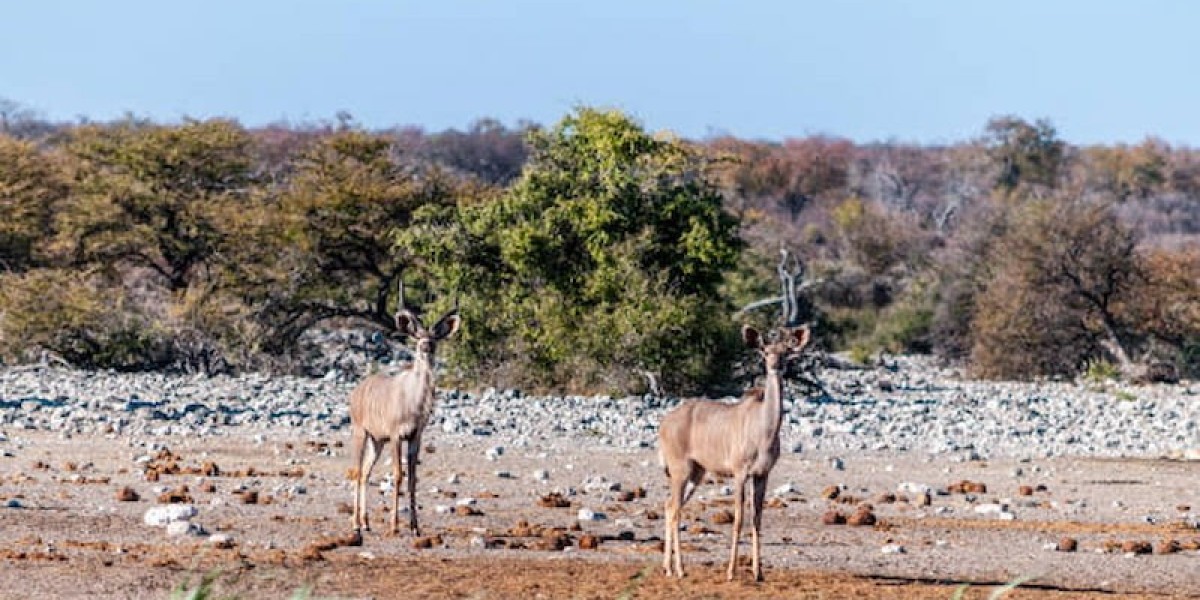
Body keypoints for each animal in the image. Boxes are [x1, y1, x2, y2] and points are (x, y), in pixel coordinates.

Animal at [350, 283, 460, 537]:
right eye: (417, 336)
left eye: (435, 337)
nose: (427, 346)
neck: (413, 402)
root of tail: (357, 391)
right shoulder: (396, 435)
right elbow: (398, 475)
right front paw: (394, 526)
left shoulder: (415, 437)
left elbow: (412, 479)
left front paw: (415, 528)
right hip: (361, 433)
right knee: (358, 471)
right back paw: (356, 524)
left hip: (377, 441)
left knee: (366, 472)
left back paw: (366, 523)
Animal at [657, 324, 816, 580]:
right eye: (765, 351)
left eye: (785, 352)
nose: (775, 365)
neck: (763, 431)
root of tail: (663, 424)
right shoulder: (740, 472)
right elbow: (739, 518)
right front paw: (731, 572)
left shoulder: (762, 474)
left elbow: (757, 518)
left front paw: (758, 573)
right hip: (680, 471)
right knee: (676, 509)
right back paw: (679, 569)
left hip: (696, 474)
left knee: (670, 506)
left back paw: (668, 568)